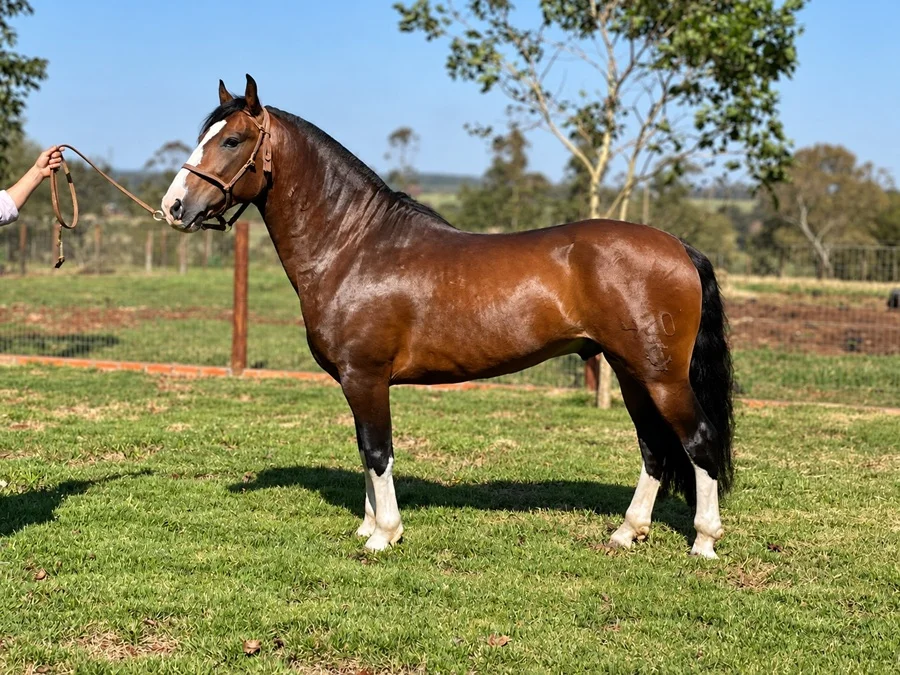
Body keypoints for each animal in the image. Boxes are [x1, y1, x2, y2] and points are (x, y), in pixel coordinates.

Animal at [162, 75, 734, 559]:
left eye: (232, 140)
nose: (173, 206)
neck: (354, 246)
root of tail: (679, 247)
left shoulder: (365, 377)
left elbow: (377, 451)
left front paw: (384, 535)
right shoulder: (355, 382)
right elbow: (364, 450)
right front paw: (367, 526)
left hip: (661, 377)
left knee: (699, 440)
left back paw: (704, 541)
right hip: (630, 371)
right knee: (654, 446)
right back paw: (627, 532)